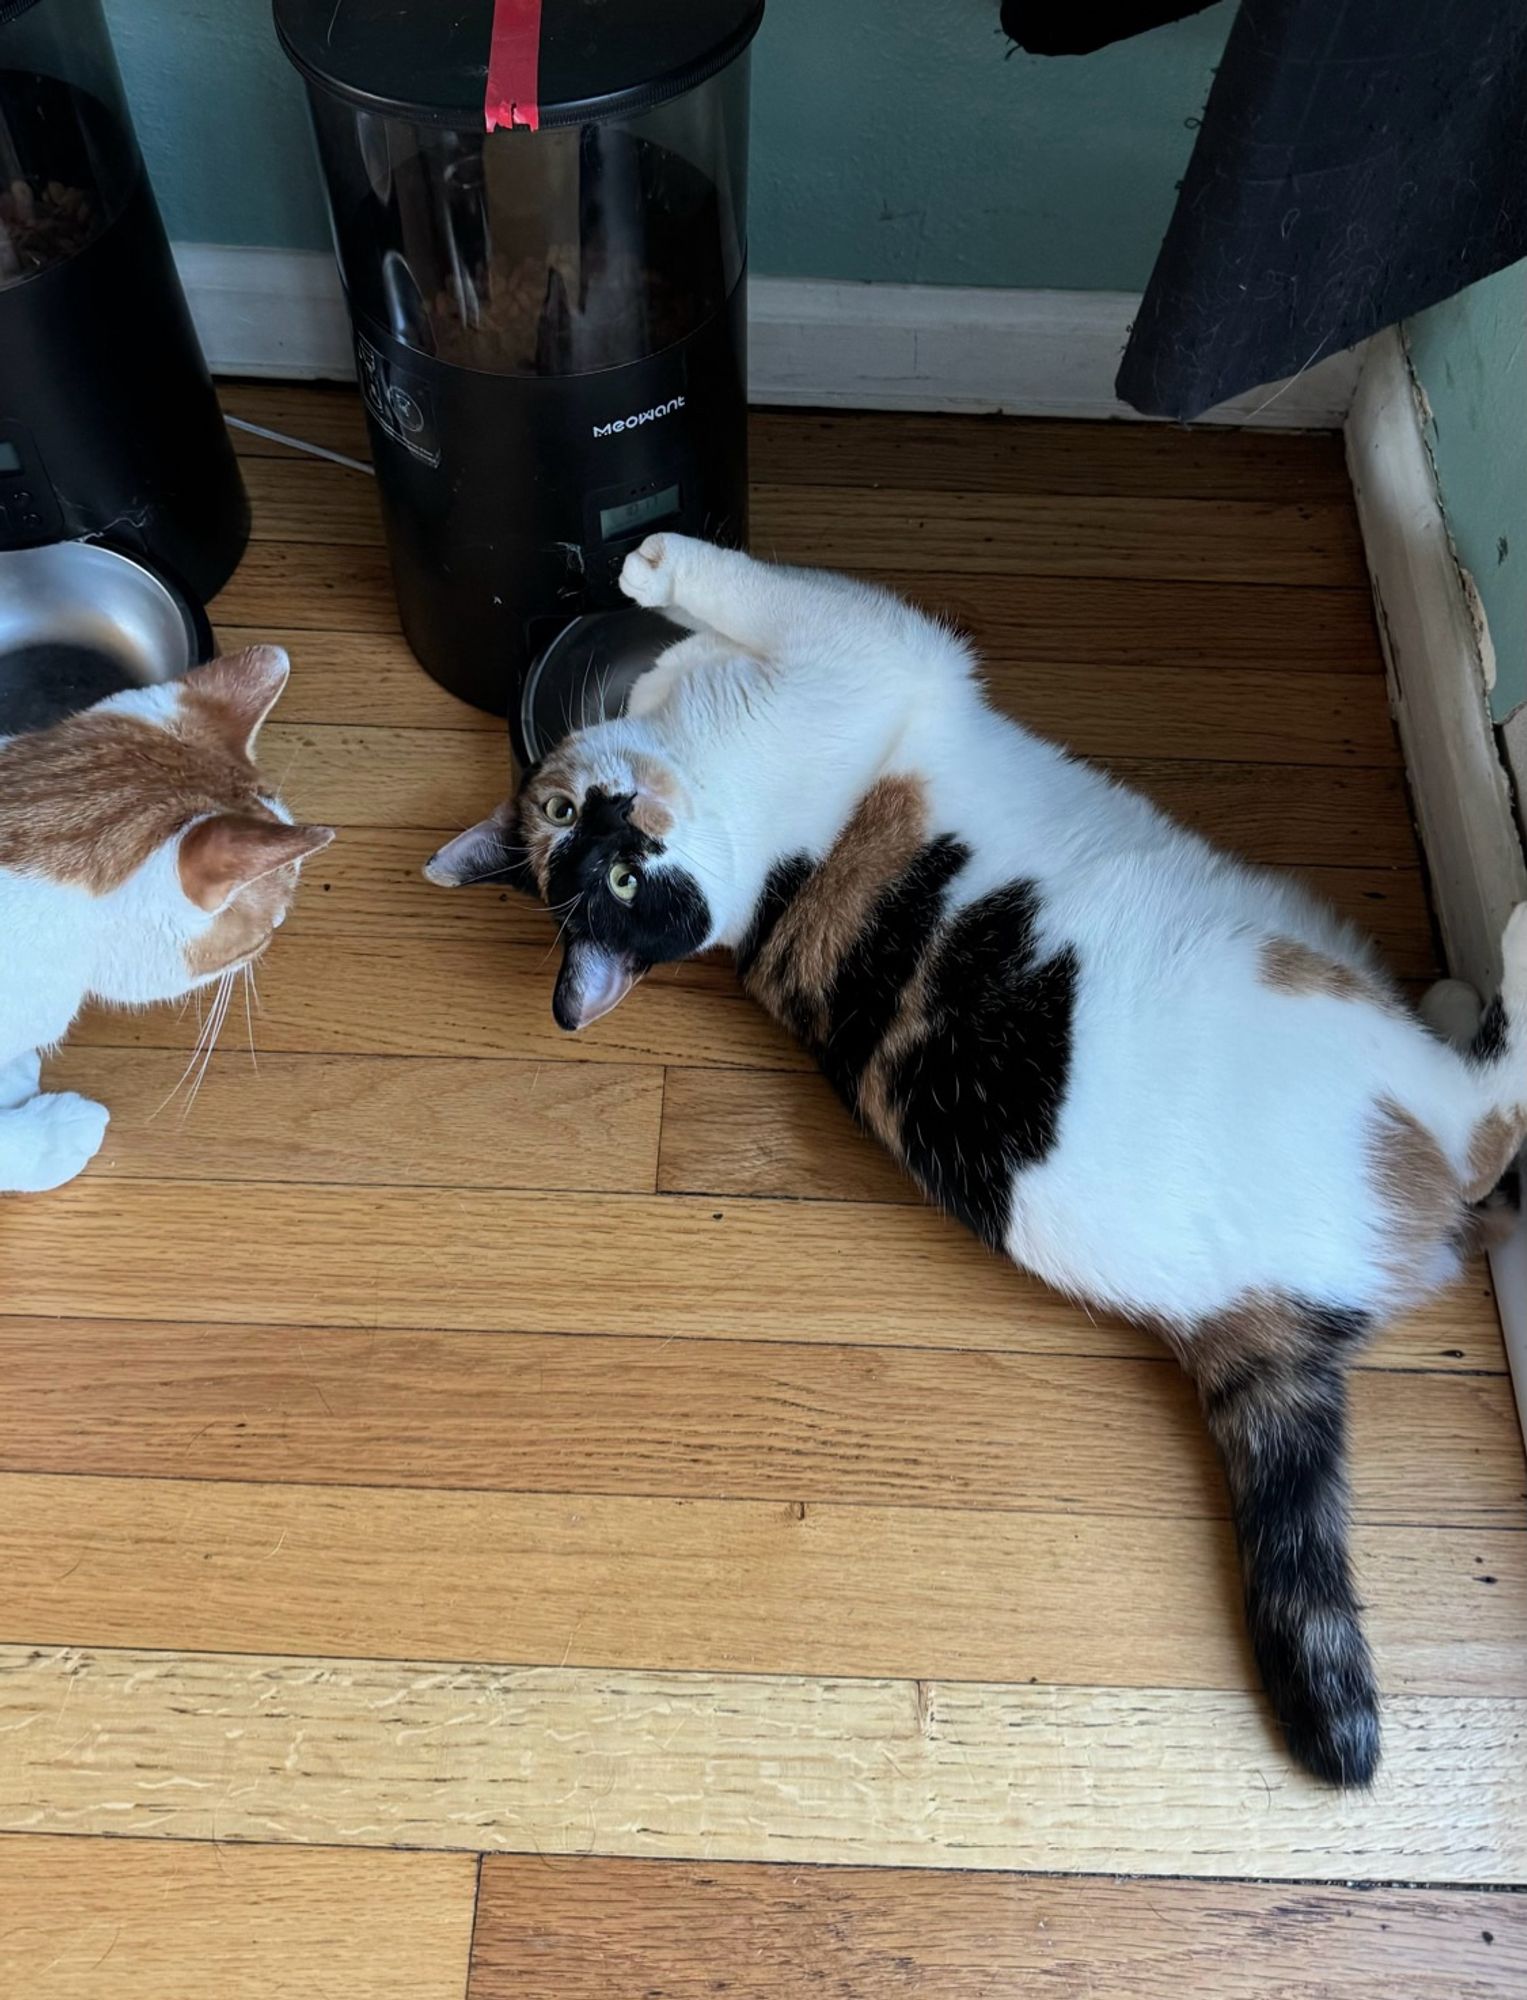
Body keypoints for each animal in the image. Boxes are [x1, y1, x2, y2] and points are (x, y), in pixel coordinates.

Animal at [429, 532, 1527, 1784]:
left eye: (581, 829)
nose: (623, 824)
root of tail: (1246, 1317)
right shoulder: (865, 646)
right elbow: (754, 584)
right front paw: (654, 565)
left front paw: (654, 613)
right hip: (1336, 1036)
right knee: (1486, 1121)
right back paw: (1513, 942)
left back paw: (1456, 990)